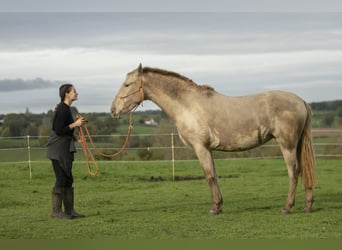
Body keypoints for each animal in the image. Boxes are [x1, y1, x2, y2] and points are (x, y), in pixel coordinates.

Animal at [110, 64, 316, 215]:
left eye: (127, 84)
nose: (113, 110)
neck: (188, 105)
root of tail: (300, 101)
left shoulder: (201, 148)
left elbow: (209, 176)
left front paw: (215, 208)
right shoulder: (208, 149)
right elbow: (215, 175)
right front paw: (219, 204)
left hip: (287, 145)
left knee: (293, 172)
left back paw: (287, 207)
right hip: (296, 145)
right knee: (304, 169)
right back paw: (307, 206)